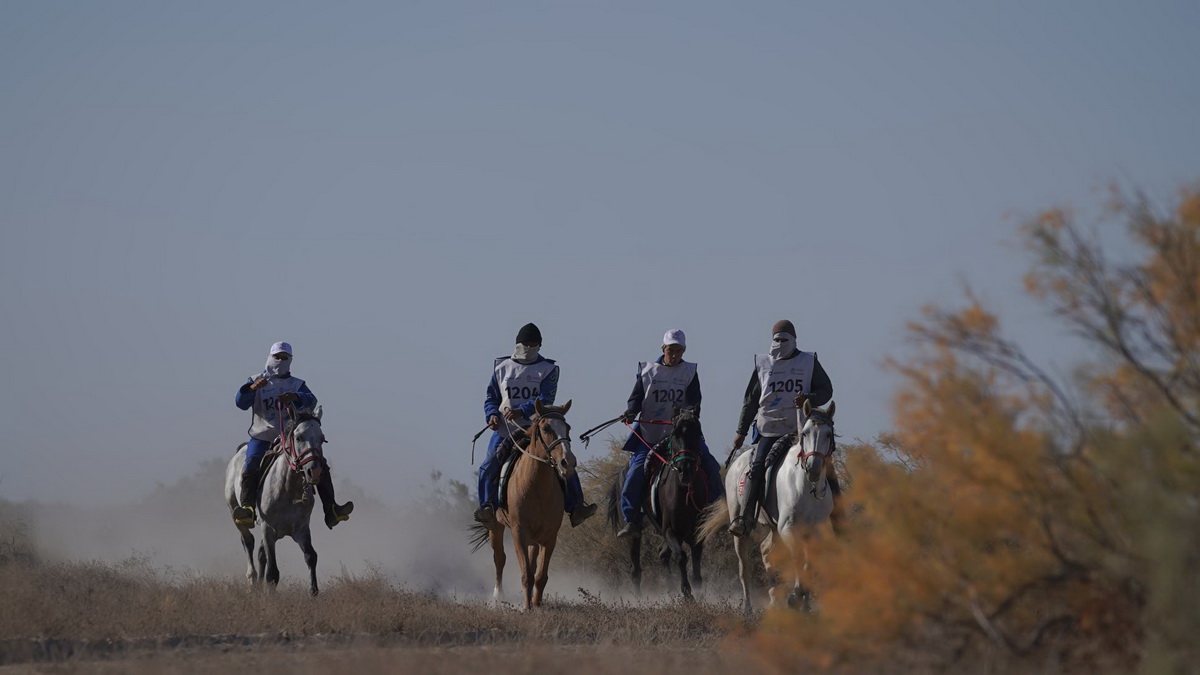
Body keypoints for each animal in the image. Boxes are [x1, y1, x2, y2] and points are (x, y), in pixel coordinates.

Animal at [225, 401, 326, 590]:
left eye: (322, 438)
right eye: (299, 437)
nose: (314, 471)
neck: (288, 488)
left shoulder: (301, 529)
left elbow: (311, 557)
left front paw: (313, 592)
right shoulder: (268, 529)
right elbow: (272, 573)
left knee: (260, 553)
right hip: (235, 513)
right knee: (248, 542)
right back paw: (252, 579)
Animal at [472, 396, 576, 607]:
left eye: (567, 428)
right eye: (546, 428)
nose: (568, 462)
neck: (537, 487)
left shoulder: (550, 537)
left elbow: (540, 576)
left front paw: (536, 605)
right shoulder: (518, 533)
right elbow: (526, 574)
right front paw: (527, 608)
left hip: (534, 539)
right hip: (495, 526)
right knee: (499, 558)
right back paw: (498, 596)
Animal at [609, 403, 710, 593]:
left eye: (698, 432)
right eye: (675, 433)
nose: (685, 468)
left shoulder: (696, 532)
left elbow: (697, 570)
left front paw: (696, 590)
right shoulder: (670, 529)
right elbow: (681, 556)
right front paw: (687, 592)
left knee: (662, 554)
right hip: (636, 532)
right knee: (636, 569)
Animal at [700, 401, 840, 612]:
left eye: (828, 434)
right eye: (805, 433)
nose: (813, 468)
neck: (804, 486)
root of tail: (737, 461)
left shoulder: (813, 532)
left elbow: (808, 565)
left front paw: (805, 605)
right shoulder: (788, 529)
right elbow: (798, 559)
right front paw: (795, 597)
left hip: (773, 529)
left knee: (766, 551)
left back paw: (775, 599)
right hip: (740, 526)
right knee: (744, 567)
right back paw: (748, 608)